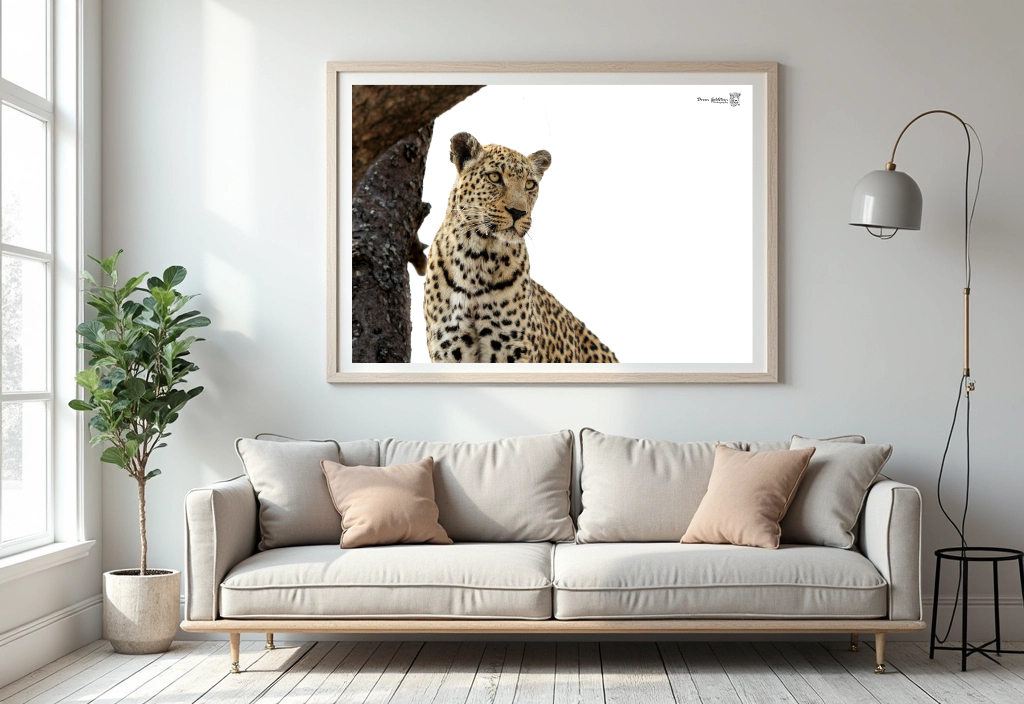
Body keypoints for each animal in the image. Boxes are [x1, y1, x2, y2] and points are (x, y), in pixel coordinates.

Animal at [423, 132, 618, 364]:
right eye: (495, 177)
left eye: (530, 184)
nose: (518, 212)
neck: (478, 257)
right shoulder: (450, 349)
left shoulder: (514, 349)